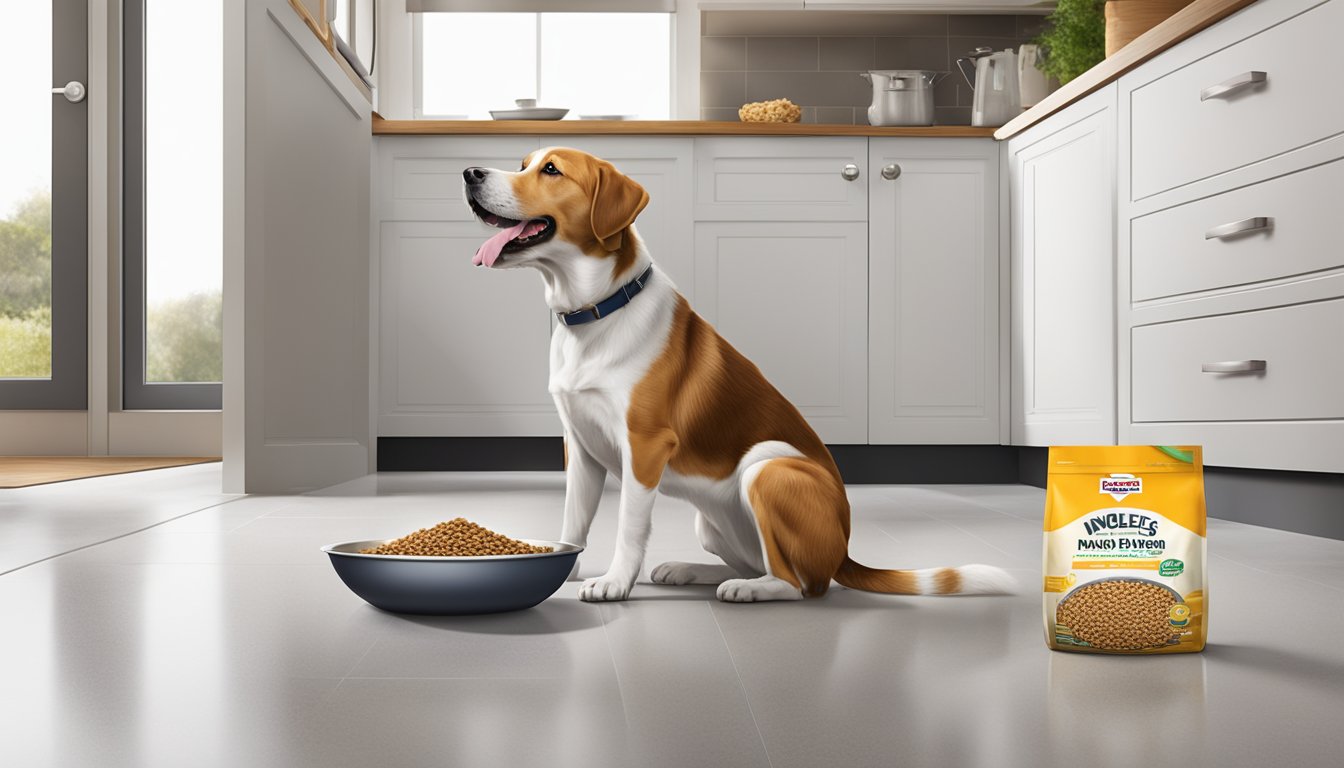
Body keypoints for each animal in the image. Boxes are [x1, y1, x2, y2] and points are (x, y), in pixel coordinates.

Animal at [462, 147, 1010, 605]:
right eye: (523, 163)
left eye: (551, 170)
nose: (470, 173)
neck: (598, 311)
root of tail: (844, 551)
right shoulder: (580, 446)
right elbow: (574, 518)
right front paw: (563, 561)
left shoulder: (644, 445)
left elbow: (629, 526)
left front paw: (615, 582)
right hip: (711, 522)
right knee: (757, 562)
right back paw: (689, 570)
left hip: (768, 468)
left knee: (801, 583)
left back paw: (752, 591)